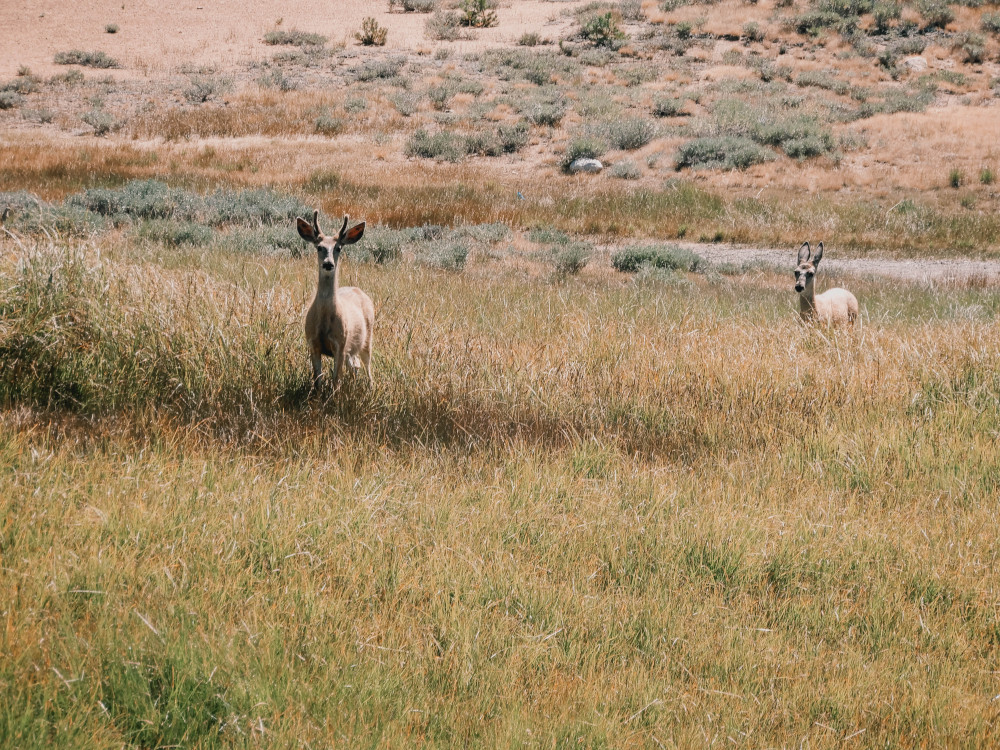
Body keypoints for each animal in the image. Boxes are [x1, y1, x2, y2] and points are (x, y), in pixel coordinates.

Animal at [298, 210, 376, 388]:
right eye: (319, 247)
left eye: (338, 248)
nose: (328, 264)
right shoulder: (313, 343)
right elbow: (317, 379)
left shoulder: (340, 344)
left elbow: (336, 380)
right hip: (351, 349)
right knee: (355, 366)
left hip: (367, 337)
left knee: (367, 366)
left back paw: (371, 387)